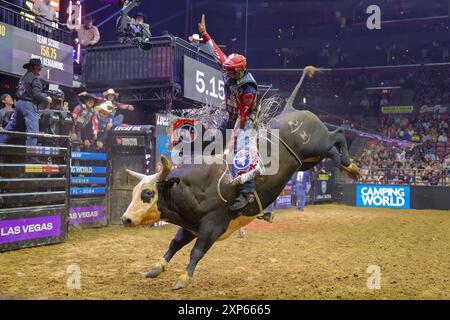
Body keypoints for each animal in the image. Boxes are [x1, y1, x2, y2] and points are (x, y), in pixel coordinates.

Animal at [120, 105, 358, 290]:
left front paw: (183, 278)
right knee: (331, 151)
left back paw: (350, 164)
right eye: (134, 192)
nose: (126, 219)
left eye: (148, 193)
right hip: (308, 159)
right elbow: (174, 244)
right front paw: (156, 268)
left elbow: (197, 251)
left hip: (317, 143)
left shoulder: (212, 226)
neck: (196, 187)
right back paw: (349, 168)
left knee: (338, 133)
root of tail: (295, 112)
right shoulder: (190, 225)